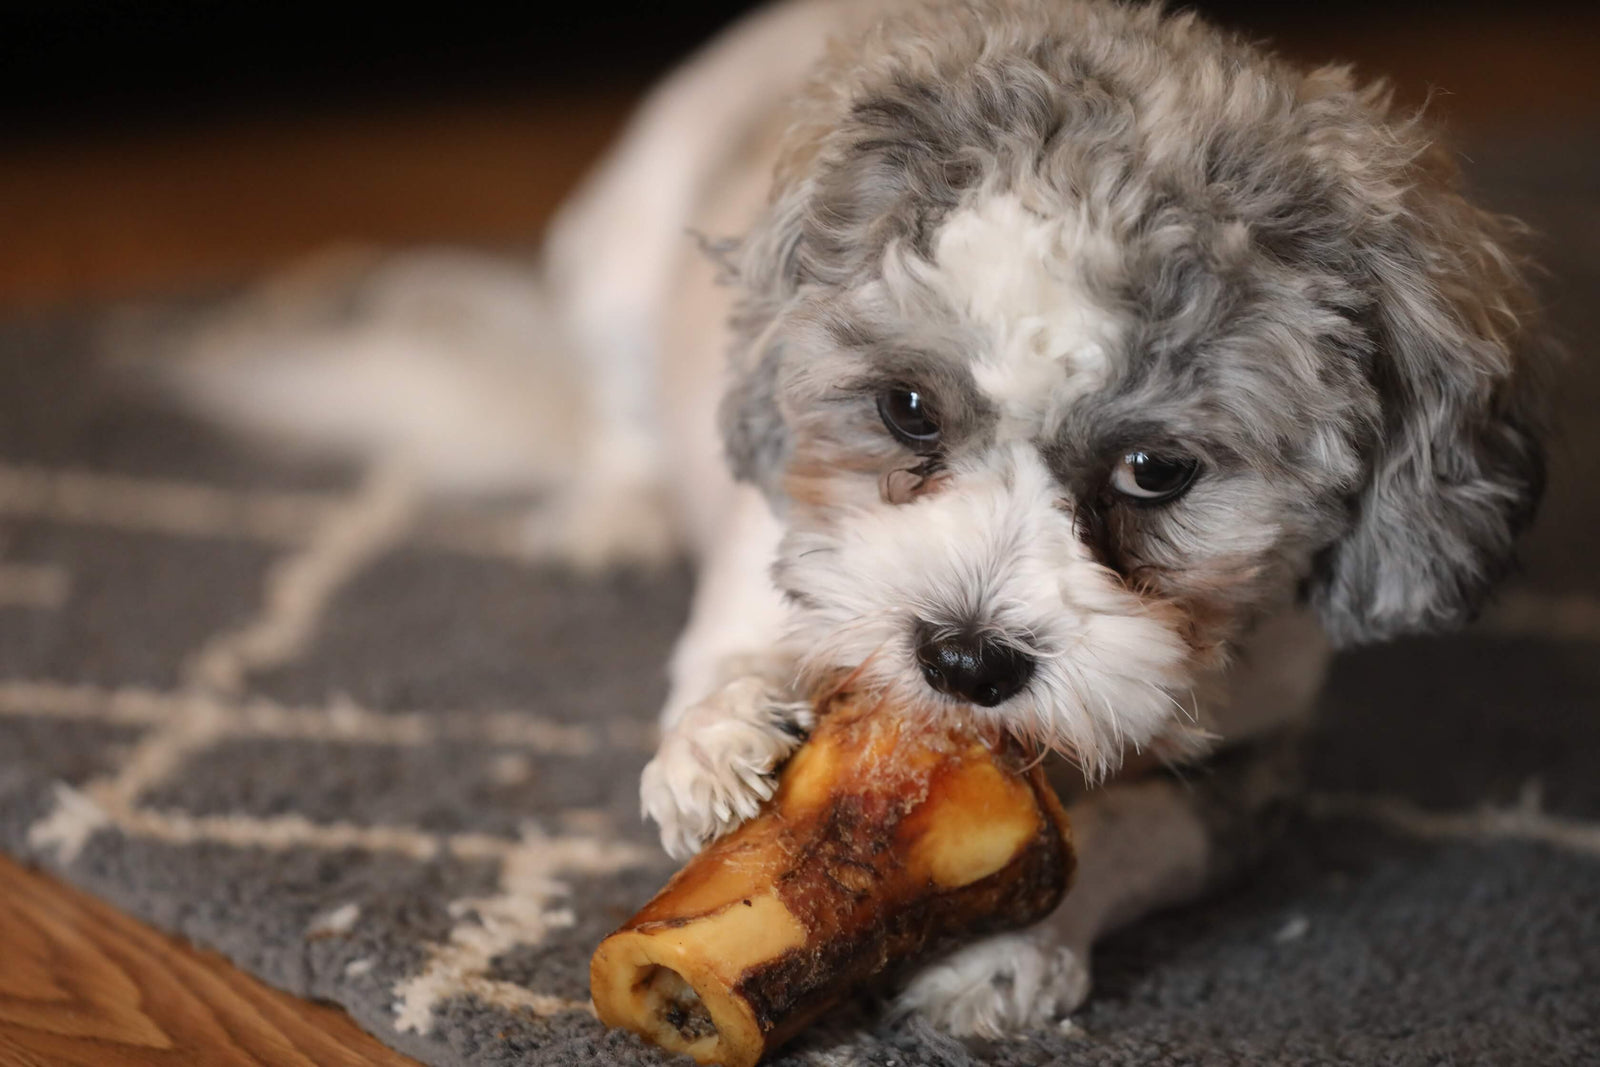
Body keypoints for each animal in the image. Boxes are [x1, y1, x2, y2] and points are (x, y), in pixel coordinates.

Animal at [162, 0, 1548, 1043]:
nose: (965, 657)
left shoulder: (1260, 765)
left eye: (1159, 469)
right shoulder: (771, 559)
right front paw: (723, 733)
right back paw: (615, 506)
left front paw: (1016, 950)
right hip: (616, 253)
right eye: (905, 408)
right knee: (618, 410)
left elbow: (1135, 825)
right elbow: (729, 657)